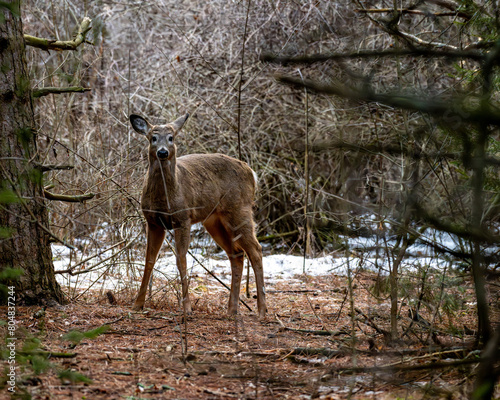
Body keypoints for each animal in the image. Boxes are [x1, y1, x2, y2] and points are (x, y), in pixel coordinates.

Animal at [131, 112, 268, 318]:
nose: (162, 152)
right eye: (153, 138)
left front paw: (187, 308)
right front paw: (137, 305)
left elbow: (181, 259)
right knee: (236, 253)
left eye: (171, 138)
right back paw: (232, 309)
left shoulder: (183, 218)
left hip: (239, 210)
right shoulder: (153, 221)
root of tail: (251, 172)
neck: (165, 198)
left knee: (256, 250)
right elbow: (149, 260)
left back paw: (261, 310)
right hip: (214, 221)